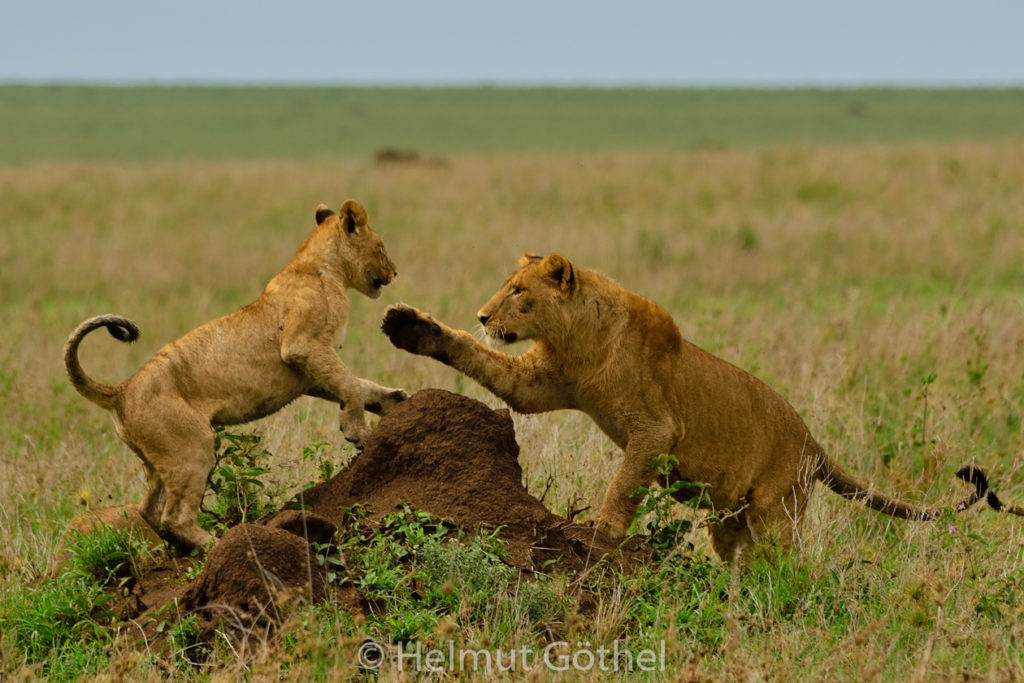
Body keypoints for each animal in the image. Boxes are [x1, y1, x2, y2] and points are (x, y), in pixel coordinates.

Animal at [65, 199, 408, 551]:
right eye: (381, 245)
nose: (395, 272)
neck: (320, 266)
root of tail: (121, 389)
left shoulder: (307, 373)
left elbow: (357, 385)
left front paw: (393, 400)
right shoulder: (302, 346)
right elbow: (350, 385)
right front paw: (359, 433)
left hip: (156, 459)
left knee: (148, 509)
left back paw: (184, 548)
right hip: (192, 448)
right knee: (174, 516)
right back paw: (216, 543)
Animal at [382, 252, 1021, 561]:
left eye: (518, 291)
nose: (485, 315)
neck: (576, 340)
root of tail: (814, 442)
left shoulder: (657, 429)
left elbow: (624, 485)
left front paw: (600, 535)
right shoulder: (541, 385)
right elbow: (477, 359)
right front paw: (410, 327)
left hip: (778, 508)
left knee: (788, 560)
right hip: (729, 519)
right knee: (736, 557)